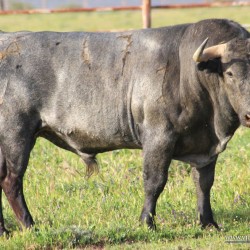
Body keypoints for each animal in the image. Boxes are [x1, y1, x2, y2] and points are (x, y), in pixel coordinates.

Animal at [0, 18, 249, 234]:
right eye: (229, 73)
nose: (248, 115)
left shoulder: (206, 148)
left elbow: (204, 183)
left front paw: (208, 223)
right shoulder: (158, 138)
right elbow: (154, 181)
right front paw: (147, 222)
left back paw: (4, 230)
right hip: (16, 135)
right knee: (12, 180)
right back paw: (29, 225)